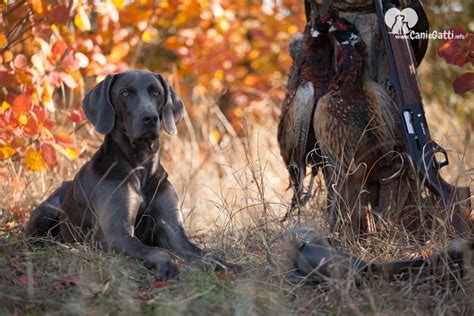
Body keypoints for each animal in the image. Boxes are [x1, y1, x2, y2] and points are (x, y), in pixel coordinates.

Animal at [26, 69, 233, 278]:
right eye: (125, 93)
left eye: (156, 93)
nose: (150, 118)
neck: (141, 165)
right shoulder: (116, 234)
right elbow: (158, 251)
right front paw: (168, 266)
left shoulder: (174, 232)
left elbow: (206, 255)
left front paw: (229, 266)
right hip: (46, 212)